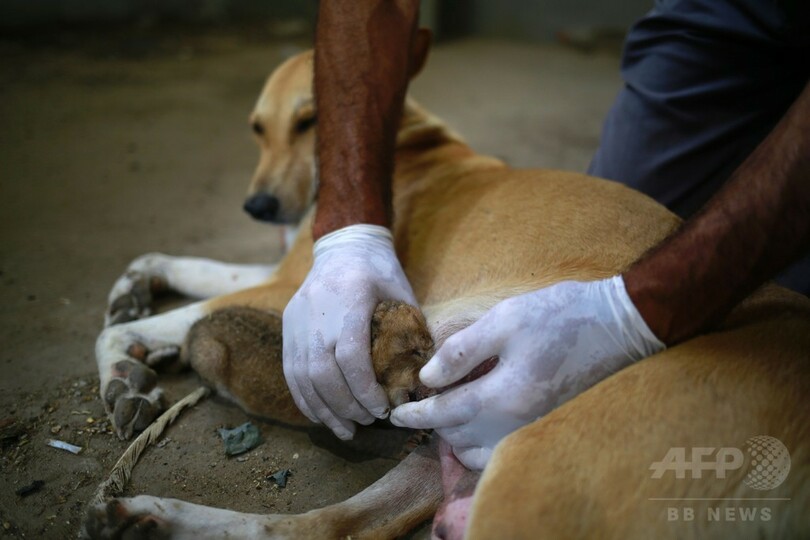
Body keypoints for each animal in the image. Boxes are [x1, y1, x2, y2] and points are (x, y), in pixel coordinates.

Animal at [85, 46, 804, 540]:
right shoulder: (289, 271)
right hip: (446, 445)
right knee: (315, 528)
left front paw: (123, 370)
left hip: (529, 473)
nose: (258, 206)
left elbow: (155, 320)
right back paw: (147, 518)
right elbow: (182, 265)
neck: (408, 142)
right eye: (257, 128)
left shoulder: (293, 290)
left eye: (311, 120)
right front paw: (132, 288)